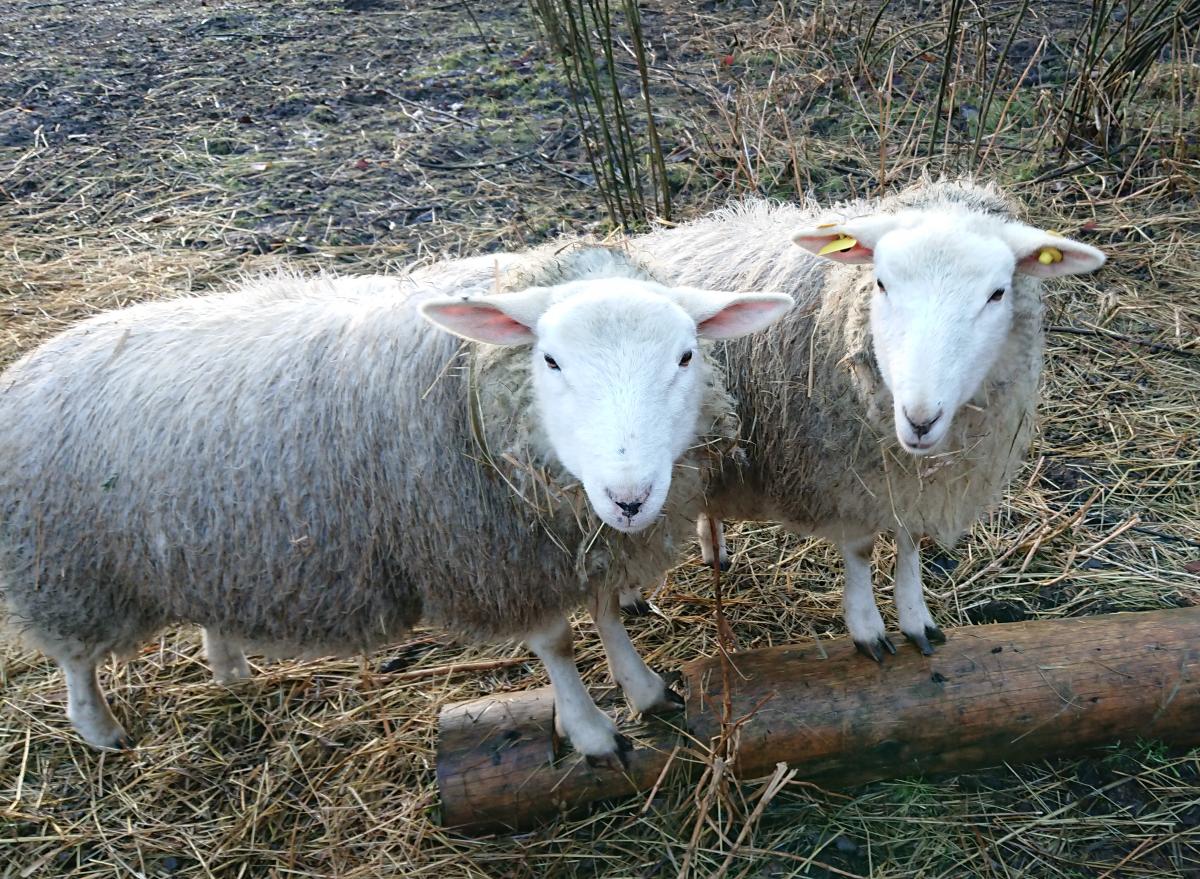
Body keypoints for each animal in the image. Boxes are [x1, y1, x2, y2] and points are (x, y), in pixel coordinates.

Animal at [0, 247, 792, 763]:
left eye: (686, 356)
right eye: (551, 360)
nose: (629, 497)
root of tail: (30, 362)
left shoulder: (566, 541)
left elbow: (604, 614)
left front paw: (646, 689)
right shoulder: (492, 555)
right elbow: (558, 644)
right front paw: (592, 730)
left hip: (199, 549)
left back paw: (229, 667)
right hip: (68, 572)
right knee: (75, 661)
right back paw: (100, 729)